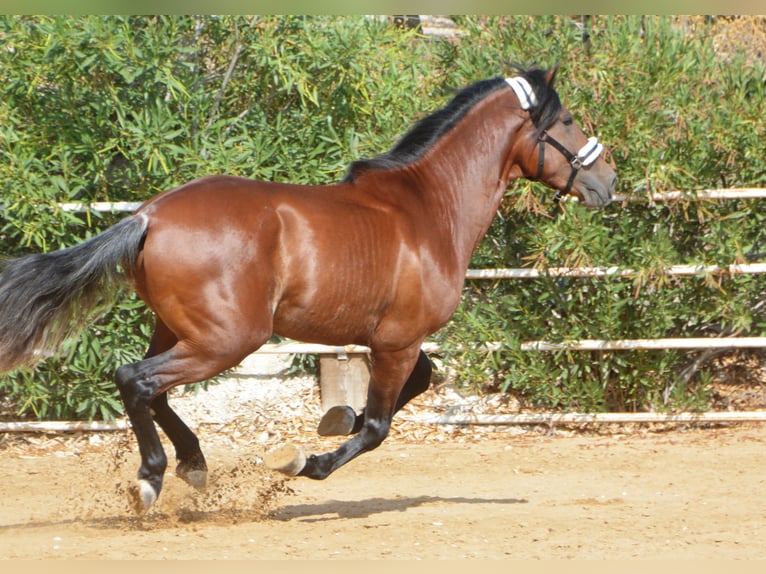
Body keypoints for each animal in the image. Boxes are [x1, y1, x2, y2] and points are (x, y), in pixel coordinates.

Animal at [0, 65, 616, 516]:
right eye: (565, 121)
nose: (606, 180)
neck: (428, 209)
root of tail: (148, 215)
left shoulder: (389, 338)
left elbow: (414, 387)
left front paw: (334, 419)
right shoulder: (399, 339)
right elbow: (378, 427)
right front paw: (302, 461)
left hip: (177, 328)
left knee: (154, 390)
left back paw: (193, 465)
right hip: (229, 339)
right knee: (136, 379)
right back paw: (150, 481)